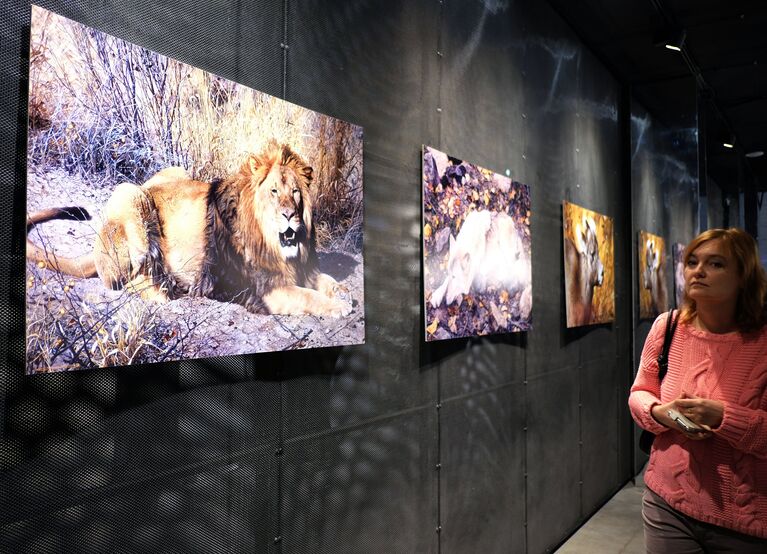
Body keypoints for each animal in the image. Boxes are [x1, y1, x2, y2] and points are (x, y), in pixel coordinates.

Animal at [26, 140, 354, 316]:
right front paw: (338, 307)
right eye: (274, 192)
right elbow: (307, 296)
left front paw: (343, 292)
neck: (275, 244)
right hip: (131, 193)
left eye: (295, 193)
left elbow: (323, 281)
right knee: (129, 279)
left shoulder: (302, 270)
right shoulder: (266, 291)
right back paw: (165, 289)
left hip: (174, 172)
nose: (289, 215)